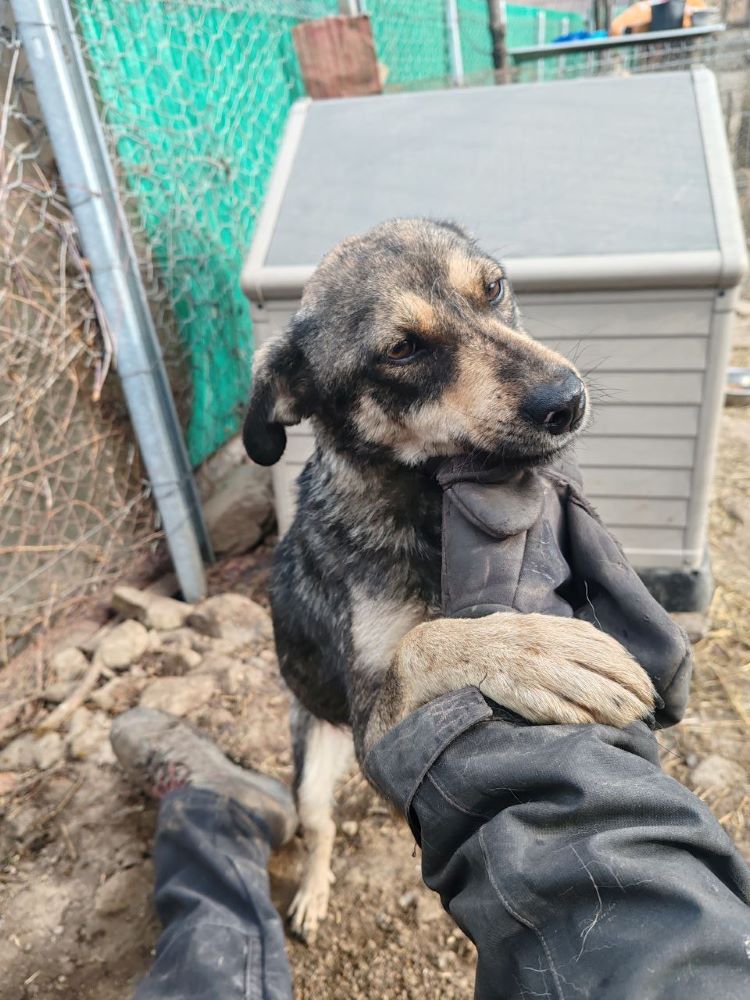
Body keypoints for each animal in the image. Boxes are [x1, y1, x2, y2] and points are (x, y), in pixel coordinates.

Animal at [244, 217, 656, 936]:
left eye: (493, 288)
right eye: (402, 349)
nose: (567, 402)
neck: (417, 504)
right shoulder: (373, 731)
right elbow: (422, 640)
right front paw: (540, 652)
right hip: (314, 765)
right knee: (320, 829)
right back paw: (313, 893)